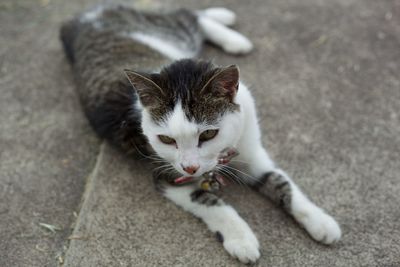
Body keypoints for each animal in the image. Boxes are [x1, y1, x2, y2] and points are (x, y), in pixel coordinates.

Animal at [61, 5, 342, 264]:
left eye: (208, 134)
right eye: (166, 140)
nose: (190, 167)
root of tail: (86, 18)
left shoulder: (252, 149)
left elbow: (282, 181)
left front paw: (320, 221)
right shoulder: (167, 175)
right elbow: (208, 202)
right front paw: (241, 239)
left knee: (186, 15)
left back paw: (232, 32)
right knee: (184, 15)